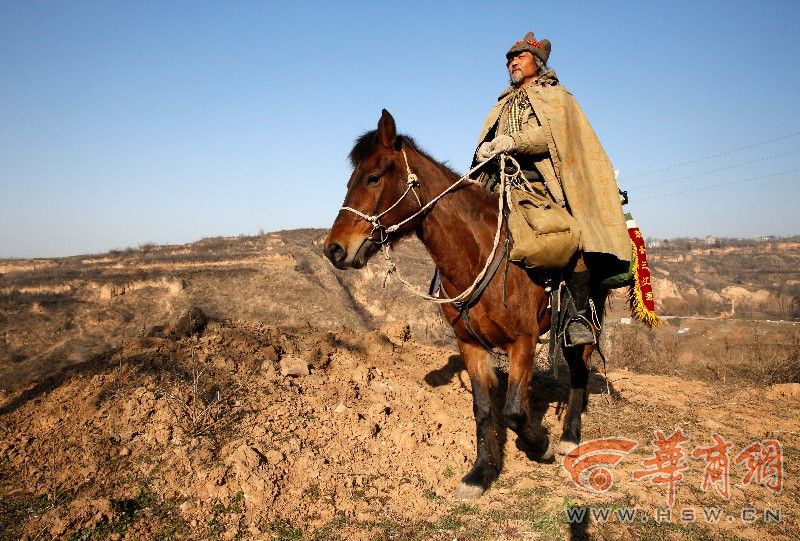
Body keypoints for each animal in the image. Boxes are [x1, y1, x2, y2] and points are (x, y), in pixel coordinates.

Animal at [322, 108, 604, 498]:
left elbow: (514, 411)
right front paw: (481, 473)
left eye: (373, 178)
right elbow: (484, 409)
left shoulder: (524, 341)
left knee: (579, 368)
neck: (479, 251)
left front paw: (541, 446)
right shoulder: (470, 344)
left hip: (584, 321)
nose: (333, 249)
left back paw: (570, 436)